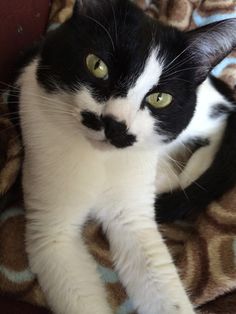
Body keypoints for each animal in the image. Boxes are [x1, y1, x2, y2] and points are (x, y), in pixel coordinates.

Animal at [15, 0, 236, 314]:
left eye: (160, 98)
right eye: (97, 66)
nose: (114, 124)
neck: (99, 158)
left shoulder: (134, 217)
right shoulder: (49, 232)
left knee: (220, 116)